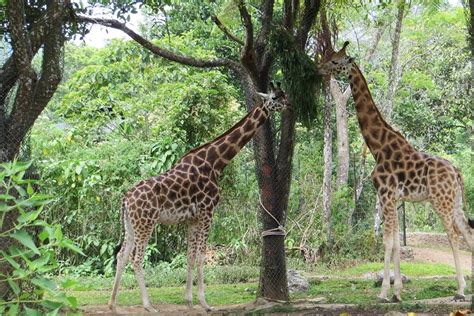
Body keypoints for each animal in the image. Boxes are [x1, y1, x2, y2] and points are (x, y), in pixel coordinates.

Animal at [108, 82, 290, 312]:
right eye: (275, 97)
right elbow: (202, 257)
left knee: (122, 255)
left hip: (131, 224)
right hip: (145, 223)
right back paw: (148, 306)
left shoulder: (192, 219)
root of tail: (125, 199)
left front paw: (189, 301)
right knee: (137, 258)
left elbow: (190, 256)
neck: (215, 163)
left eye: (284, 95)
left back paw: (112, 304)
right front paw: (205, 303)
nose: (289, 106)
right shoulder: (207, 212)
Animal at [316, 40, 472, 302]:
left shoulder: (386, 195)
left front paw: (383, 293)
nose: (319, 68)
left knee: (454, 235)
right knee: (467, 231)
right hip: (455, 201)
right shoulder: (394, 198)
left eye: (336, 61)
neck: (378, 146)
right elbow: (397, 243)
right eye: (327, 57)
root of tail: (457, 171)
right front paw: (398, 292)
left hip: (440, 200)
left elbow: (387, 242)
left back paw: (460, 289)